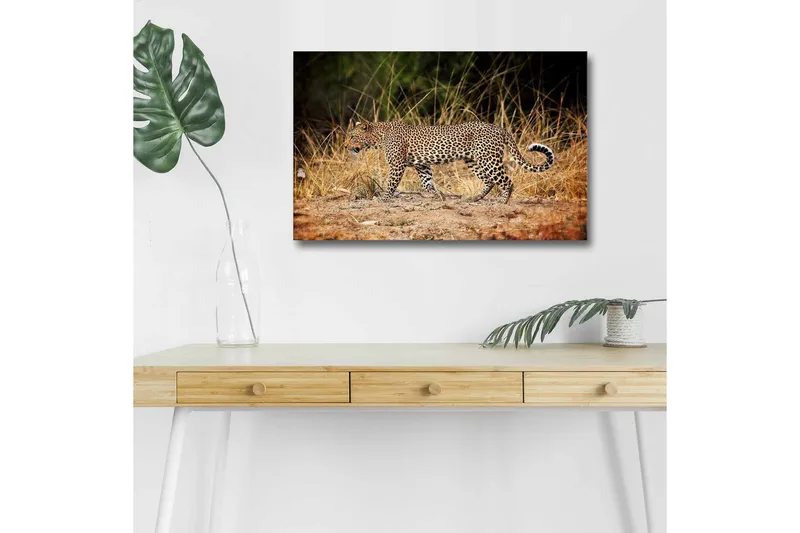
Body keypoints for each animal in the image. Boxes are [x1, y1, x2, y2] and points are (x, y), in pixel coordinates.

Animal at [346, 120, 554, 203]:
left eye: (352, 137)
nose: (346, 145)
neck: (379, 137)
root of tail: (499, 128)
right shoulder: (422, 165)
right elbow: (427, 183)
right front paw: (440, 197)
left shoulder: (397, 164)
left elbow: (391, 184)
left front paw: (384, 199)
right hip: (474, 161)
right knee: (489, 181)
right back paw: (474, 198)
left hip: (488, 159)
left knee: (506, 181)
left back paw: (502, 202)